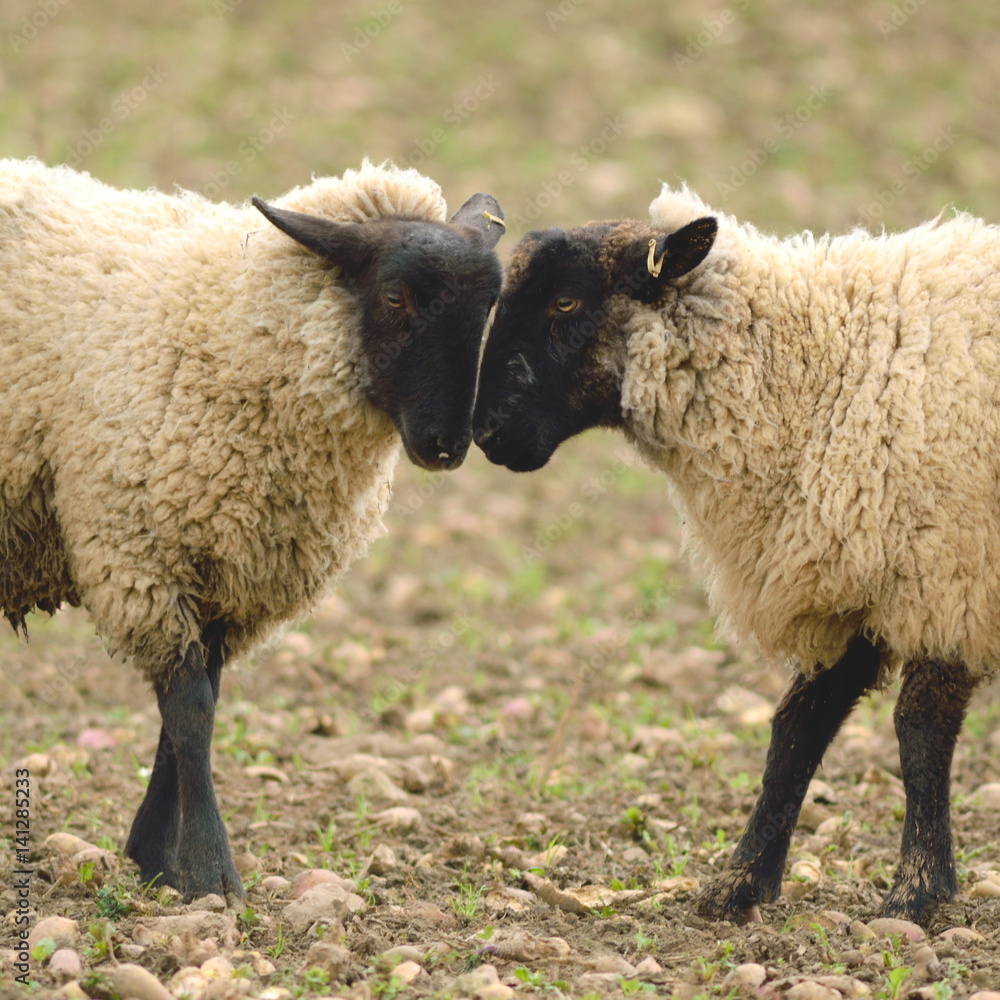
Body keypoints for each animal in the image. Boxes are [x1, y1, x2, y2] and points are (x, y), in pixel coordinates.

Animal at [0, 157, 504, 900]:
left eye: (489, 308)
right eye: (394, 298)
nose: (447, 445)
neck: (228, 322)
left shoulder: (228, 572)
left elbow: (192, 709)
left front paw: (154, 857)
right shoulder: (146, 556)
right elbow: (190, 712)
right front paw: (209, 872)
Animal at [472, 182, 1000, 926]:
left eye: (567, 302)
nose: (486, 433)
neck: (825, 365)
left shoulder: (950, 575)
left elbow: (919, 728)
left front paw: (917, 891)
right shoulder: (849, 580)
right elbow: (796, 728)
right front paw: (739, 885)